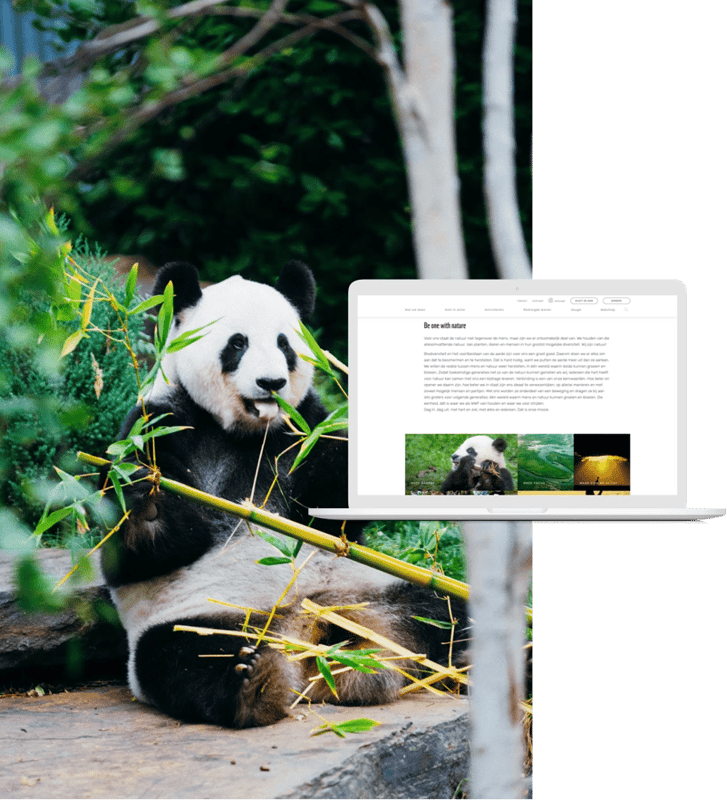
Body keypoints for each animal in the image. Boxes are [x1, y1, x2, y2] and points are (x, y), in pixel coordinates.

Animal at [101, 261, 469, 729]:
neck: (246, 433)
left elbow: (335, 509)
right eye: (237, 343)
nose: (271, 383)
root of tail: (309, 636)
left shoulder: (301, 429)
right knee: (181, 657)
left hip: (381, 589)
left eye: (284, 344)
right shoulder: (159, 422)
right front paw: (147, 498)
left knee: (445, 614)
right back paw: (250, 682)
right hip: (201, 618)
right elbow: (134, 551)